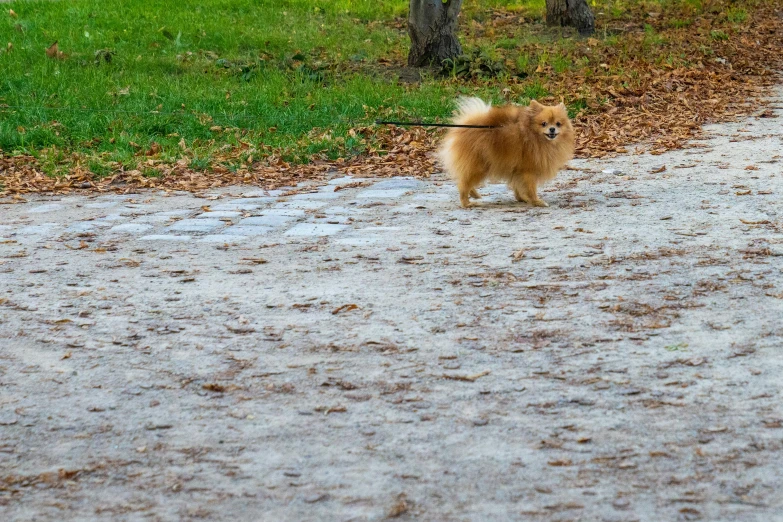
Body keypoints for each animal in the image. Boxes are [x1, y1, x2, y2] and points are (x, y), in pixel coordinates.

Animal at [440, 96, 576, 206]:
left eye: (558, 124)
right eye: (544, 124)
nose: (552, 129)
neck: (533, 135)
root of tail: (463, 128)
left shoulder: (518, 170)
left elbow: (519, 186)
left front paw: (523, 198)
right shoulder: (528, 170)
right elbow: (531, 188)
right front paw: (536, 201)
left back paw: (473, 194)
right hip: (479, 166)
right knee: (463, 184)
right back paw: (467, 203)